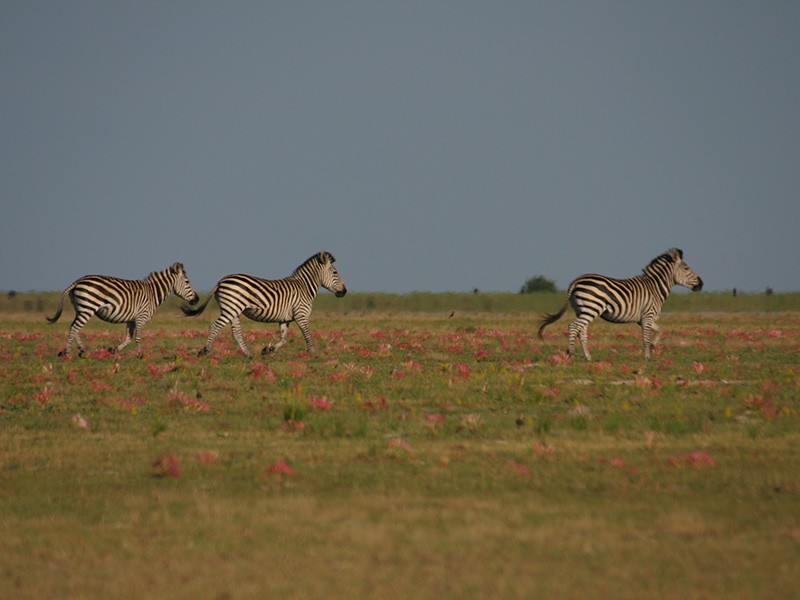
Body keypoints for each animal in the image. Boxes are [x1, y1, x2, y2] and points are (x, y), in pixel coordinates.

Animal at [47, 262, 198, 356]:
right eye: (187, 282)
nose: (197, 299)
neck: (152, 293)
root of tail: (77, 281)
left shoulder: (131, 319)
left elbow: (128, 338)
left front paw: (113, 350)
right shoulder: (141, 316)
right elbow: (138, 337)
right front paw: (139, 354)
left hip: (81, 308)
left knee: (75, 328)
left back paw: (82, 350)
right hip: (88, 308)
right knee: (74, 328)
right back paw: (67, 353)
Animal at [184, 251, 346, 358]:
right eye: (335, 272)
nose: (344, 292)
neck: (304, 288)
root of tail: (221, 281)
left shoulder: (285, 319)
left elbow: (284, 339)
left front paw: (268, 350)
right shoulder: (301, 315)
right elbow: (307, 335)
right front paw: (313, 353)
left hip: (234, 310)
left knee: (236, 332)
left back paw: (249, 355)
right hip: (231, 308)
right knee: (214, 327)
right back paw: (205, 351)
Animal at [536, 248, 700, 360]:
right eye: (686, 268)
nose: (701, 284)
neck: (655, 287)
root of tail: (577, 280)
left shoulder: (644, 319)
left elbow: (660, 331)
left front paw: (653, 347)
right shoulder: (647, 316)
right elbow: (646, 337)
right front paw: (647, 356)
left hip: (582, 309)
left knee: (581, 330)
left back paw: (588, 357)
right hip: (591, 307)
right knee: (573, 326)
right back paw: (571, 354)